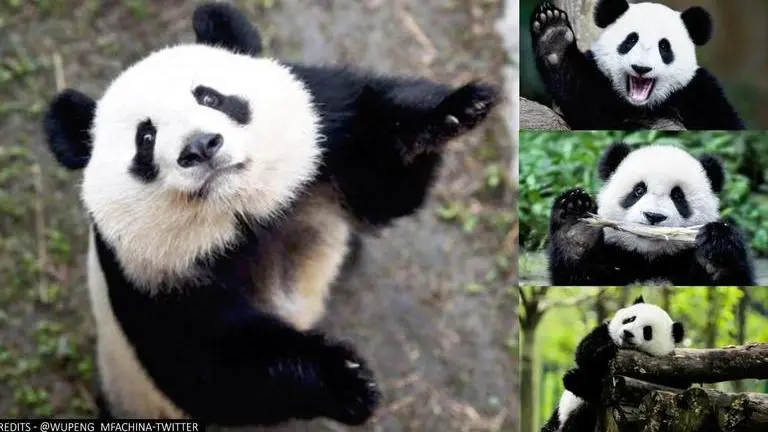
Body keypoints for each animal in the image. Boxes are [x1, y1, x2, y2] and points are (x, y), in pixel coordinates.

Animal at [42, 2, 499, 425]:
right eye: (146, 137)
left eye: (210, 96)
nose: (200, 146)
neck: (242, 214)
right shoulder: (146, 274)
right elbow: (211, 369)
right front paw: (346, 380)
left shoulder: (325, 138)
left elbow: (382, 184)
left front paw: (453, 110)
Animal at [529, 0, 744, 130]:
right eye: (631, 40)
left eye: (664, 46)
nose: (641, 69)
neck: (642, 107)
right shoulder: (601, 85)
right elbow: (580, 95)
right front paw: (554, 35)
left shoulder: (698, 93)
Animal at [541, 296, 685, 432]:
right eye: (630, 319)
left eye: (647, 331)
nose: (628, 333)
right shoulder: (606, 332)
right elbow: (584, 352)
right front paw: (604, 353)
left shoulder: (663, 371)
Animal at [548, 142, 755, 286]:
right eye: (639, 190)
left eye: (678, 196)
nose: (653, 216)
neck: (650, 260)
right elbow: (577, 272)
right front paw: (576, 225)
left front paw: (714, 252)